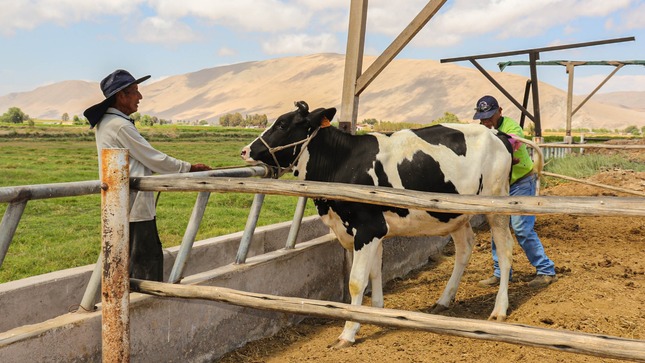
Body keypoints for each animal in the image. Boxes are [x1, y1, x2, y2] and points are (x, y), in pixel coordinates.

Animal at [240, 101, 532, 348]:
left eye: (282, 124)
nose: (246, 151)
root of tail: (498, 134)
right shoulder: (371, 231)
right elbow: (374, 273)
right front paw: (375, 314)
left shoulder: (368, 228)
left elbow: (357, 281)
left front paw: (348, 332)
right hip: (455, 214)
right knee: (465, 248)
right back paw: (444, 300)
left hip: (497, 206)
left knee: (505, 251)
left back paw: (499, 310)